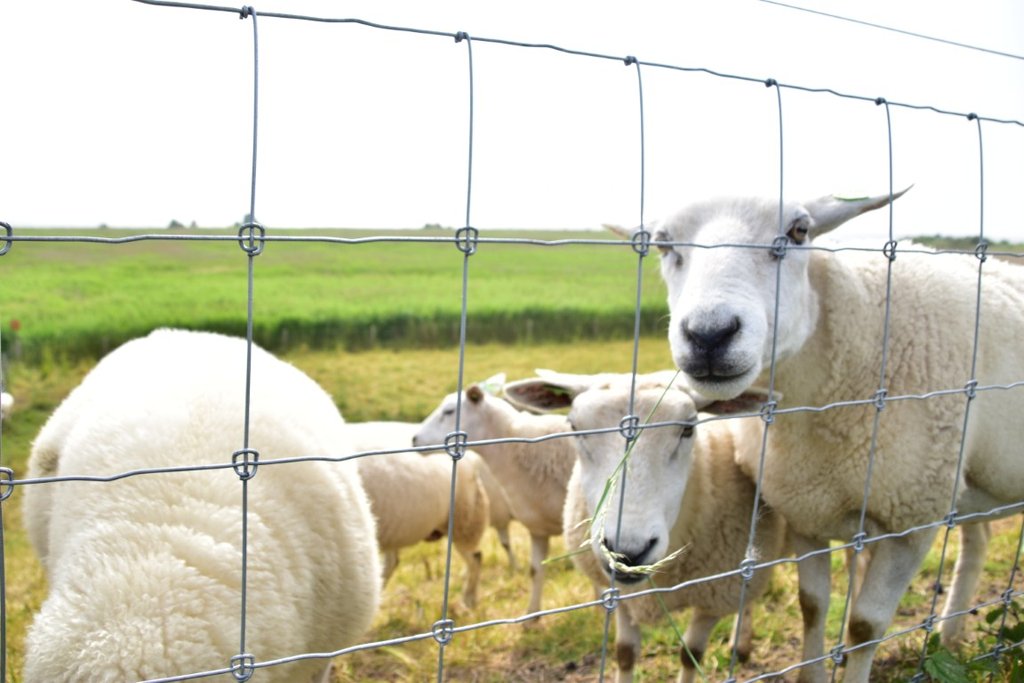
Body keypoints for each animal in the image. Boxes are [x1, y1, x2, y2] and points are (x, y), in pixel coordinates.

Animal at [505, 370, 784, 683]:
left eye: (688, 428)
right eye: (574, 426)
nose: (626, 552)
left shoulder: (715, 596)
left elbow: (691, 654)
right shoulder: (622, 596)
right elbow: (625, 653)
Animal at [646, 189, 1024, 682]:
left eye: (799, 231)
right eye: (662, 243)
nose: (709, 335)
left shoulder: (912, 519)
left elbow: (864, 626)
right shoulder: (805, 507)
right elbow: (812, 605)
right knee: (977, 541)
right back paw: (950, 633)